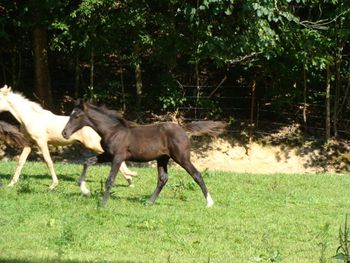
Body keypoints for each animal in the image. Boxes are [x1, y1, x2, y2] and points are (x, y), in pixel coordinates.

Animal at [0, 85, 136, 195]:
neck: (31, 118)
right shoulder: (29, 144)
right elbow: (21, 161)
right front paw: (11, 184)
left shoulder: (41, 142)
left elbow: (48, 161)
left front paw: (53, 185)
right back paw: (130, 180)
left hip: (93, 144)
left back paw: (131, 177)